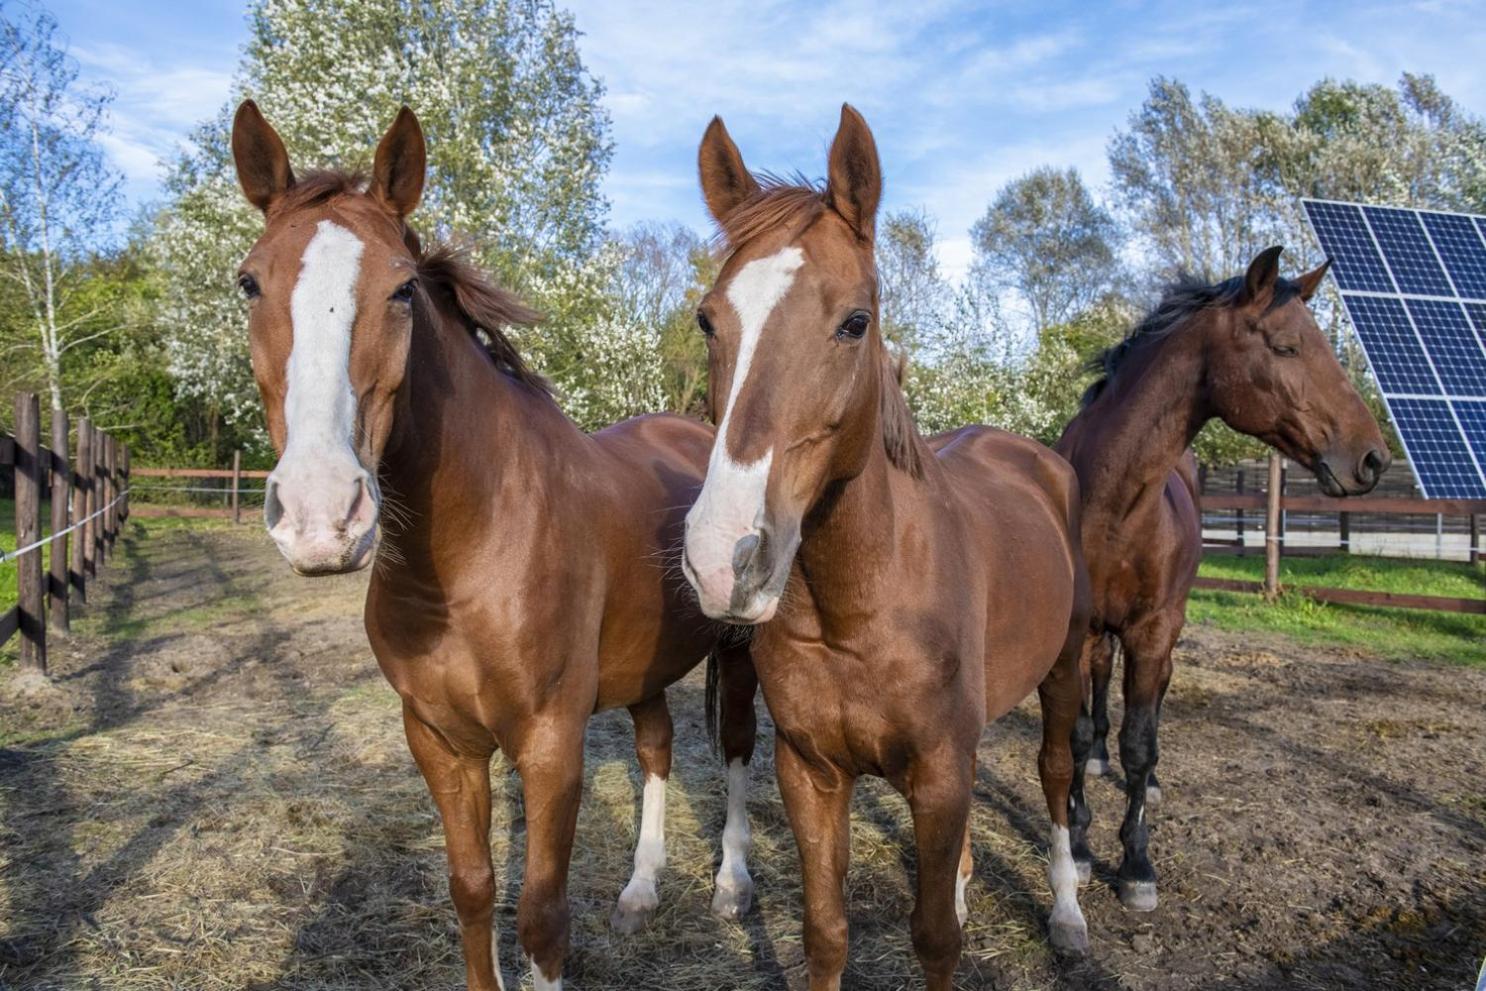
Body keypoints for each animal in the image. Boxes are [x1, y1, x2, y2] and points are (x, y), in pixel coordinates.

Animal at [231, 102, 766, 991]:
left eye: (402, 288)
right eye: (249, 282)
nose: (319, 512)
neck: (465, 555)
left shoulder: (549, 744)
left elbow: (540, 917)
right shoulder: (439, 740)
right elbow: (474, 889)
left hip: (737, 647)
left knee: (732, 751)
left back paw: (730, 886)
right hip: (645, 665)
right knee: (655, 745)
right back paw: (640, 890)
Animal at [683, 104, 1093, 986]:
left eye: (854, 321)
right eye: (708, 319)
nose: (724, 555)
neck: (860, 606)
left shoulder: (937, 770)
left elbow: (935, 936)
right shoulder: (811, 772)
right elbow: (827, 930)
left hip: (1066, 670)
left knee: (1055, 773)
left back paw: (1069, 915)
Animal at [1058, 248, 1390, 915]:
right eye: (1287, 347)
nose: (1372, 458)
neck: (1110, 507)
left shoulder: (1154, 631)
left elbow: (1141, 741)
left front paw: (1136, 864)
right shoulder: (1084, 631)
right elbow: (1079, 734)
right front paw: (1079, 846)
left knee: (1151, 712)